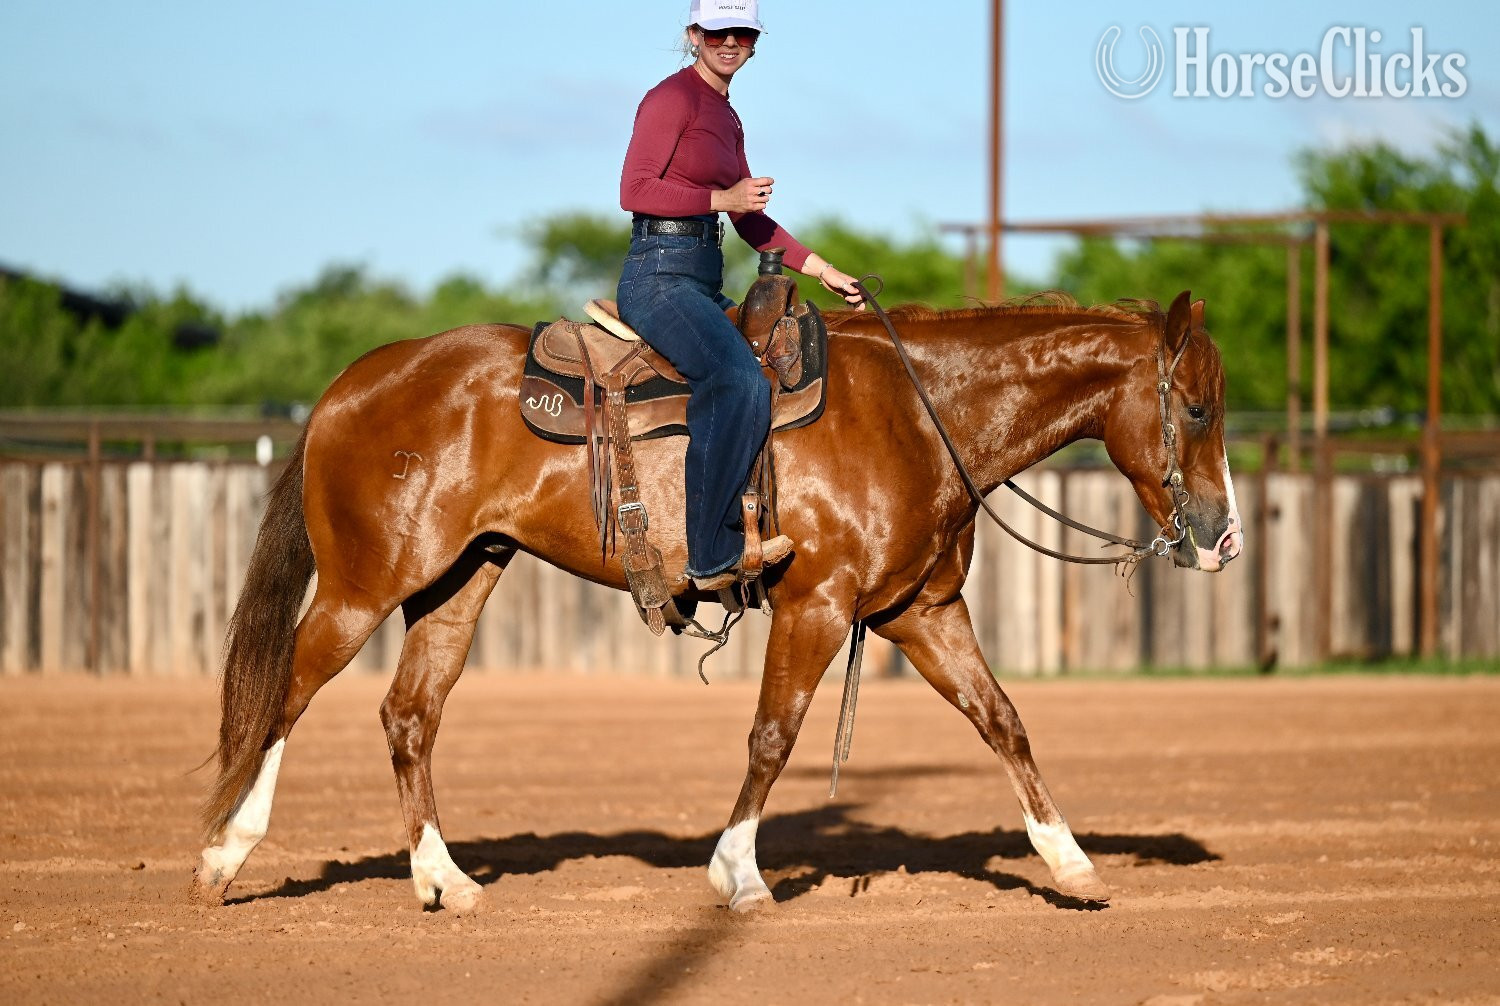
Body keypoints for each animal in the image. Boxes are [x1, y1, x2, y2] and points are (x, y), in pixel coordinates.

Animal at [193, 289, 1243, 914]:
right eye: (1195, 408)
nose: (1224, 536)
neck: (917, 411)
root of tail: (347, 387)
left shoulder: (922, 612)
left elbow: (1004, 721)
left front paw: (1071, 864)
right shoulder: (819, 605)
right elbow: (772, 736)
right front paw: (737, 872)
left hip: (458, 581)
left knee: (408, 715)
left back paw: (443, 879)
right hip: (364, 586)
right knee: (283, 696)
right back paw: (222, 857)